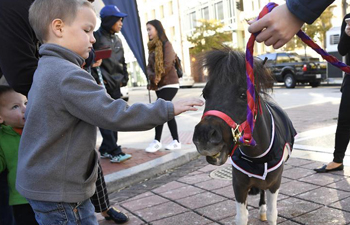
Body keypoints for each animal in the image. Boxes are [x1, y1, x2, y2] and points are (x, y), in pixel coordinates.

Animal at [193, 46, 296, 224]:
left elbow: (272, 213)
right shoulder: (239, 185)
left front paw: (266, 211)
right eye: (205, 93)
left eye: (242, 95)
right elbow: (241, 217)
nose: (204, 136)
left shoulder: (274, 183)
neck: (257, 157)